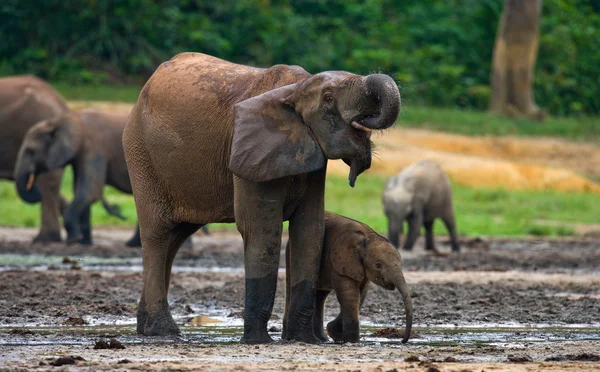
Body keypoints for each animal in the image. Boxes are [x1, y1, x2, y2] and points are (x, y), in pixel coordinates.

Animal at [282, 212, 412, 342]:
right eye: (378, 265)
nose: (402, 340)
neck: (367, 237)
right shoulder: (340, 261)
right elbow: (350, 294)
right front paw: (351, 340)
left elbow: (361, 293)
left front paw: (336, 334)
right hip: (291, 252)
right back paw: (288, 337)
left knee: (321, 295)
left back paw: (323, 339)